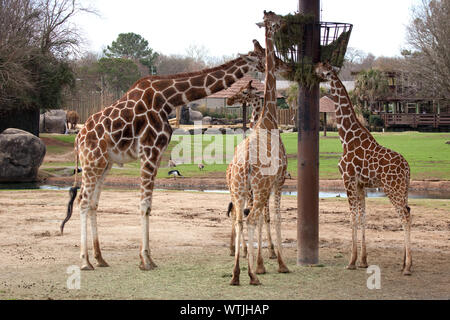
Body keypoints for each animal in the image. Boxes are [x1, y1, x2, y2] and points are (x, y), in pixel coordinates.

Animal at [59, 40, 270, 272]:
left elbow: (149, 205)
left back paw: (99, 258)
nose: (275, 64)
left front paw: (148, 258)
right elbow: (144, 205)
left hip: (104, 164)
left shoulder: (157, 154)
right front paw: (145, 260)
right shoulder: (150, 151)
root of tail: (78, 138)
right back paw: (85, 262)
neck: (168, 99)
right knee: (83, 201)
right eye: (262, 56)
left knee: (93, 203)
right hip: (92, 161)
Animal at [314, 62, 414, 276]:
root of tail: (408, 168)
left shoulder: (348, 180)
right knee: (409, 212)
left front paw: (351, 261)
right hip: (404, 189)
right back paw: (404, 262)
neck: (346, 137)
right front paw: (363, 261)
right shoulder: (360, 184)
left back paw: (408, 267)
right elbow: (363, 217)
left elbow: (352, 217)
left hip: (392, 188)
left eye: (323, 68)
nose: (314, 70)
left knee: (405, 216)